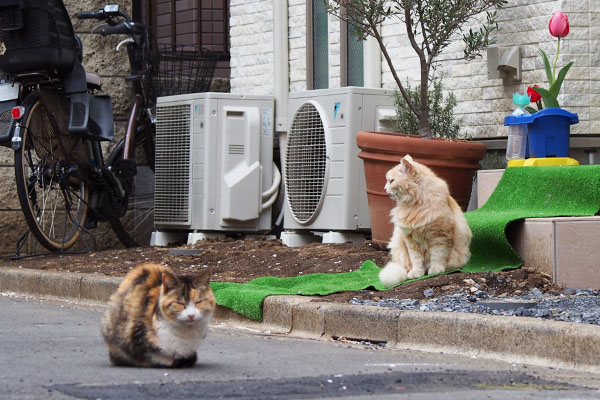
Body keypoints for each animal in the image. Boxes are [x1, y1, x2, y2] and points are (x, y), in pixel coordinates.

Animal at [380, 154, 474, 288]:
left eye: (391, 181)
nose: (385, 188)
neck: (416, 203)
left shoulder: (439, 236)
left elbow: (437, 256)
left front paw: (436, 270)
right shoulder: (410, 240)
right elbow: (416, 259)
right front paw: (417, 273)